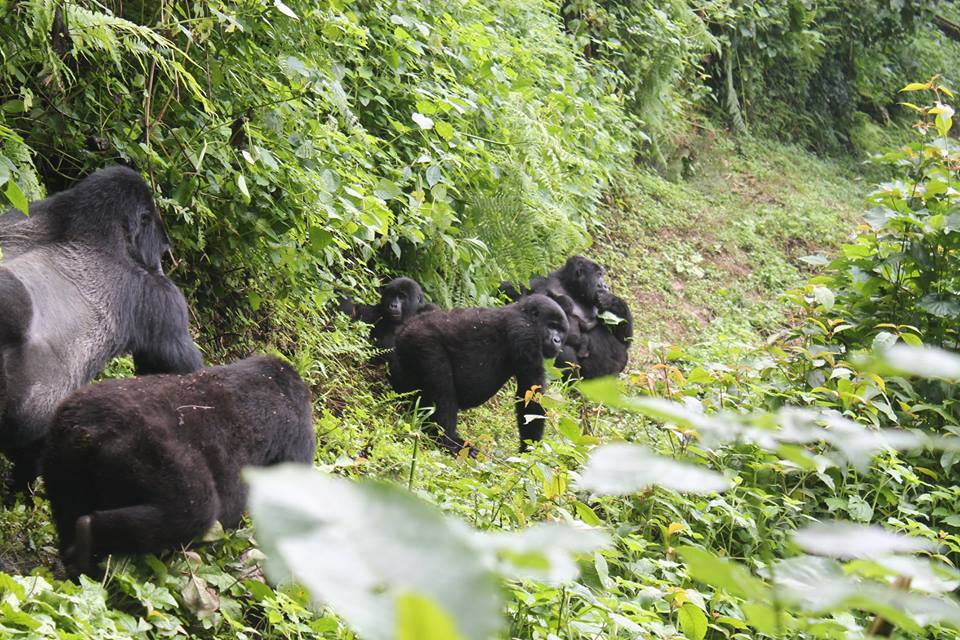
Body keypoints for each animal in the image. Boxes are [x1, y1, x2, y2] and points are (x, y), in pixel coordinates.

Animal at [43, 356, 314, 576]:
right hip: (146, 451)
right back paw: (89, 536)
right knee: (193, 511)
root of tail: (92, 428)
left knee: (67, 499)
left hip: (63, 440)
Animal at [390, 296, 568, 456]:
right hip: (422, 341)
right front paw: (529, 451)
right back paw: (450, 442)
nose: (557, 340)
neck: (524, 313)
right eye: (552, 326)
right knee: (442, 393)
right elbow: (530, 394)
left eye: (561, 330)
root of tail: (407, 326)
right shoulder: (525, 333)